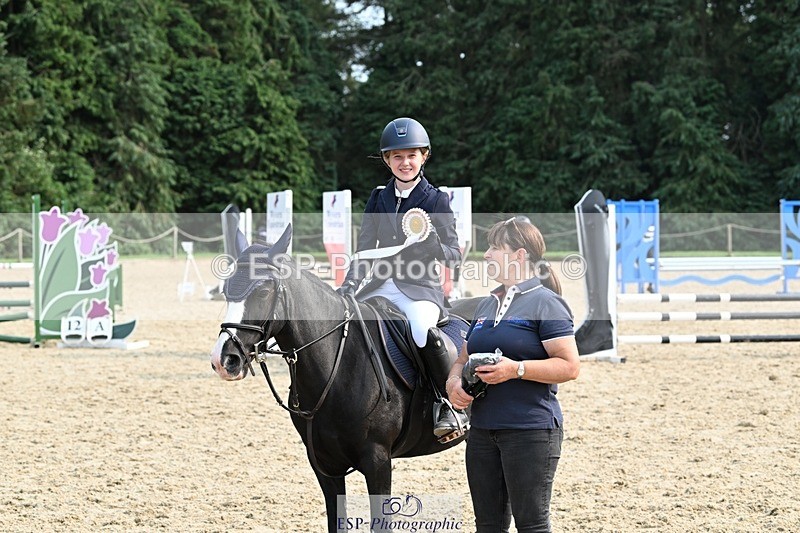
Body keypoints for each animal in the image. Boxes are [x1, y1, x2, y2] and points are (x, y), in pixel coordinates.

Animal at [210, 225, 483, 532]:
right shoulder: (324, 465)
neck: (336, 364)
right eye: (225, 289)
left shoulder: (377, 461)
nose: (224, 360)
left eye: (264, 290)